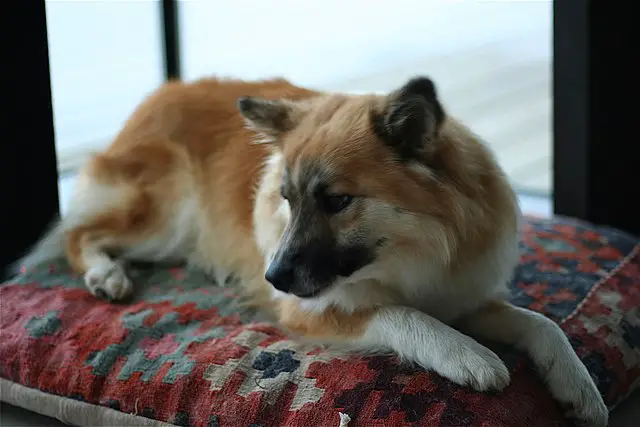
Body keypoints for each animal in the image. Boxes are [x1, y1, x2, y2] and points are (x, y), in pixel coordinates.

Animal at [18, 76, 604, 424]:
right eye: (286, 198)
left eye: (338, 201)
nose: (271, 277)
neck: (414, 251)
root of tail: (161, 92)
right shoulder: (314, 307)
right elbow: (400, 314)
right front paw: (467, 355)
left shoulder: (464, 292)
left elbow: (541, 323)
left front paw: (578, 385)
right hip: (167, 215)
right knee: (78, 235)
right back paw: (106, 275)